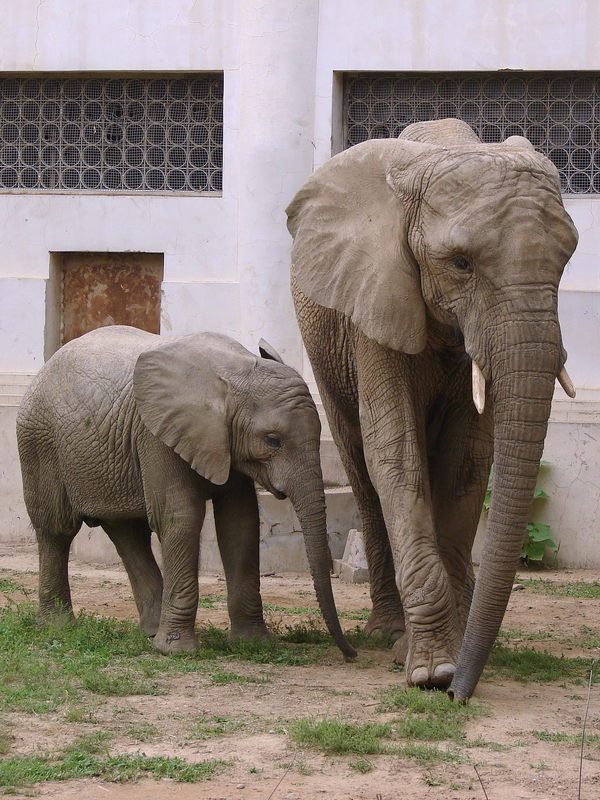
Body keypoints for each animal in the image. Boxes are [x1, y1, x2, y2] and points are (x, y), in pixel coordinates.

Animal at [16, 325, 356, 660]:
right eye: (272, 440)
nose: (350, 653)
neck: (235, 372)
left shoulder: (222, 441)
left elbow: (240, 522)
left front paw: (254, 644)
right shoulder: (156, 435)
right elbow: (181, 518)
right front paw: (178, 651)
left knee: (128, 533)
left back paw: (151, 631)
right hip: (39, 440)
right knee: (57, 530)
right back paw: (58, 626)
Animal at [286, 118, 578, 701]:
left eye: (566, 259)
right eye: (460, 264)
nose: (457, 695)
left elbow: (468, 460)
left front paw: (450, 656)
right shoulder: (374, 297)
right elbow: (395, 456)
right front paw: (432, 671)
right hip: (326, 349)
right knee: (361, 467)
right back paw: (386, 633)